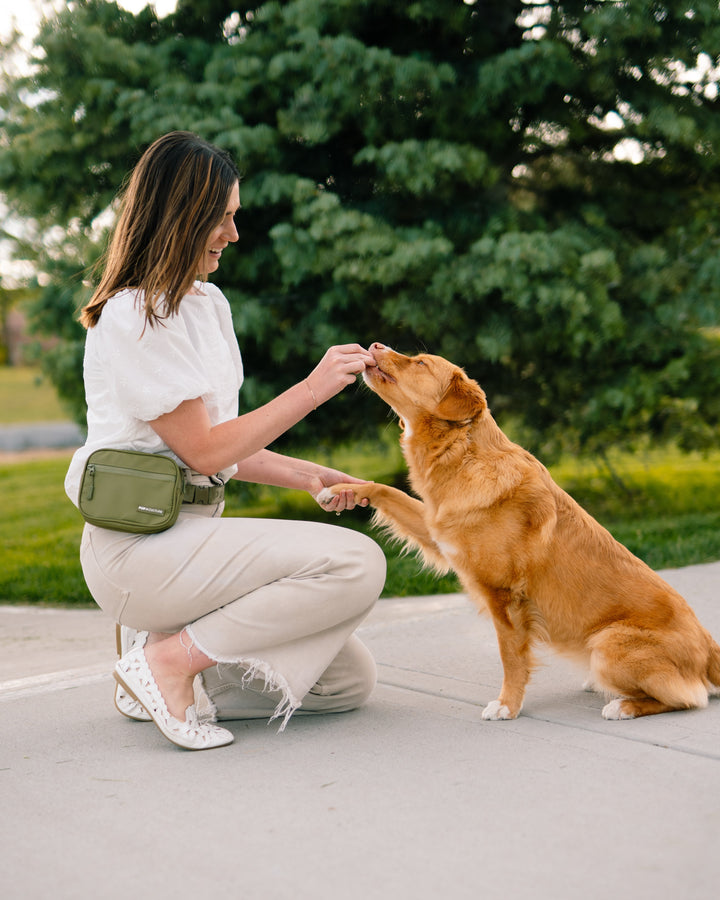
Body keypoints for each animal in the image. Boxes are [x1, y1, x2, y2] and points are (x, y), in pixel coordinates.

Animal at [320, 342, 720, 720]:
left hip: (607, 644)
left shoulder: (505, 596)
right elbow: (387, 490)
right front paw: (341, 490)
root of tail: (709, 648)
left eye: (420, 363)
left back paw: (624, 706)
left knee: (689, 698)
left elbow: (511, 658)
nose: (374, 345)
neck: (462, 454)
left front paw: (507, 706)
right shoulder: (437, 530)